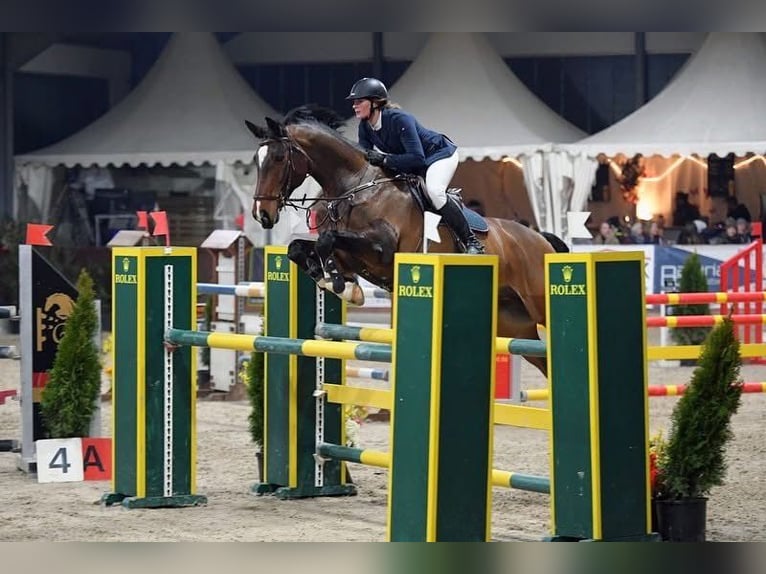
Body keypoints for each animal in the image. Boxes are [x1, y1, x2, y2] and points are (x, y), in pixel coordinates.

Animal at [246, 106, 568, 378]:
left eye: (278, 158)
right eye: (256, 163)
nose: (262, 214)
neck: (354, 187)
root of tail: (539, 238)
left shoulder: (382, 250)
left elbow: (327, 239)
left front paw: (340, 284)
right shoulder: (350, 253)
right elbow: (299, 247)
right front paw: (333, 280)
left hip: (538, 304)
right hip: (513, 323)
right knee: (543, 359)